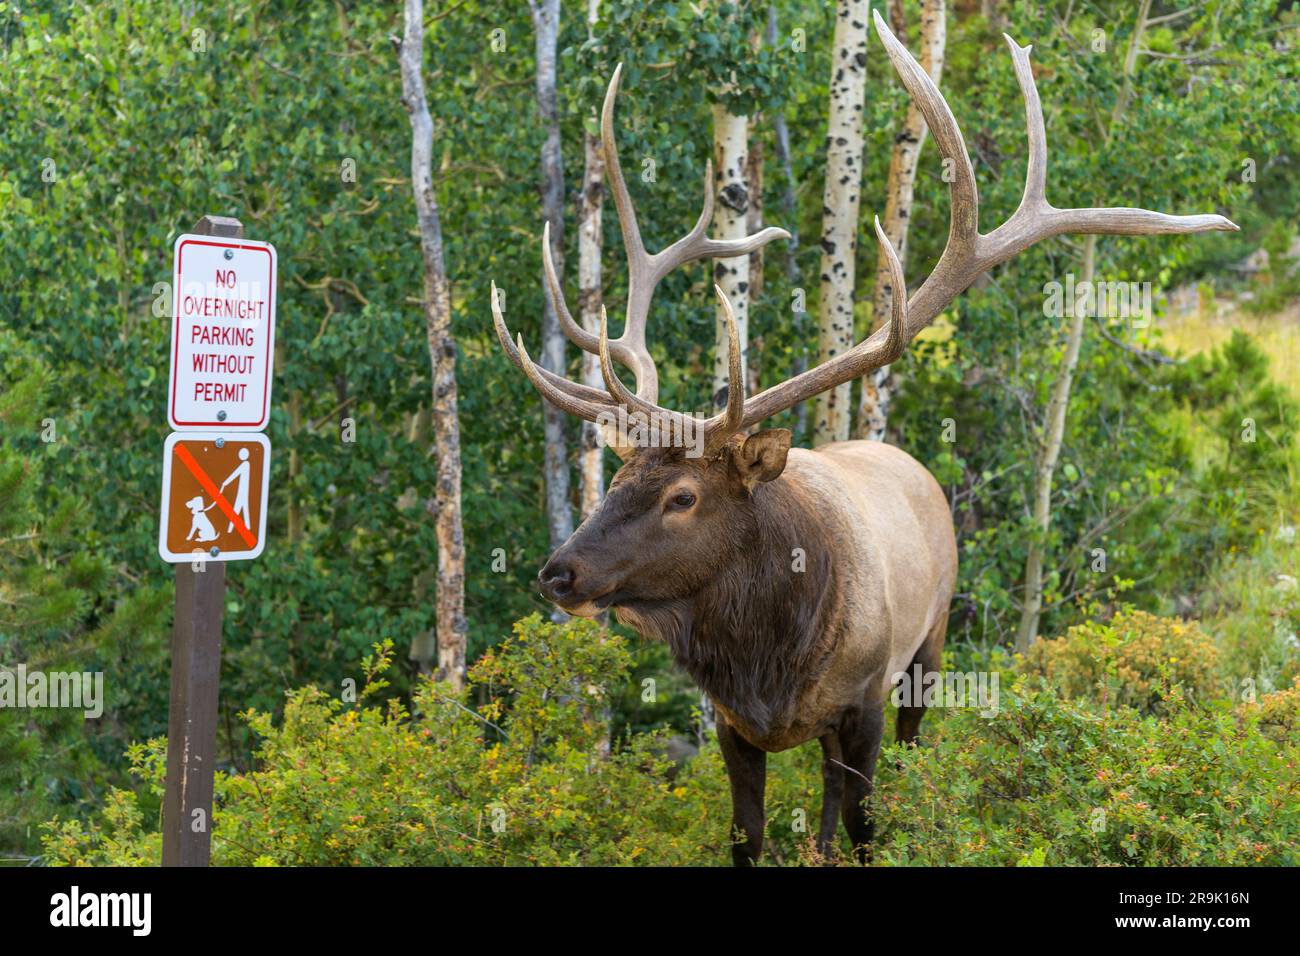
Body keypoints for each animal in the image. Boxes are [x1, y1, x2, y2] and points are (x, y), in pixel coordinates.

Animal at [489, 12, 1236, 865]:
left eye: (682, 496)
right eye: (615, 483)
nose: (559, 573)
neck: (767, 661)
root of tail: (905, 457)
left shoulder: (865, 703)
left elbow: (863, 824)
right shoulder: (731, 726)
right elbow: (749, 837)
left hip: (930, 647)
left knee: (893, 765)